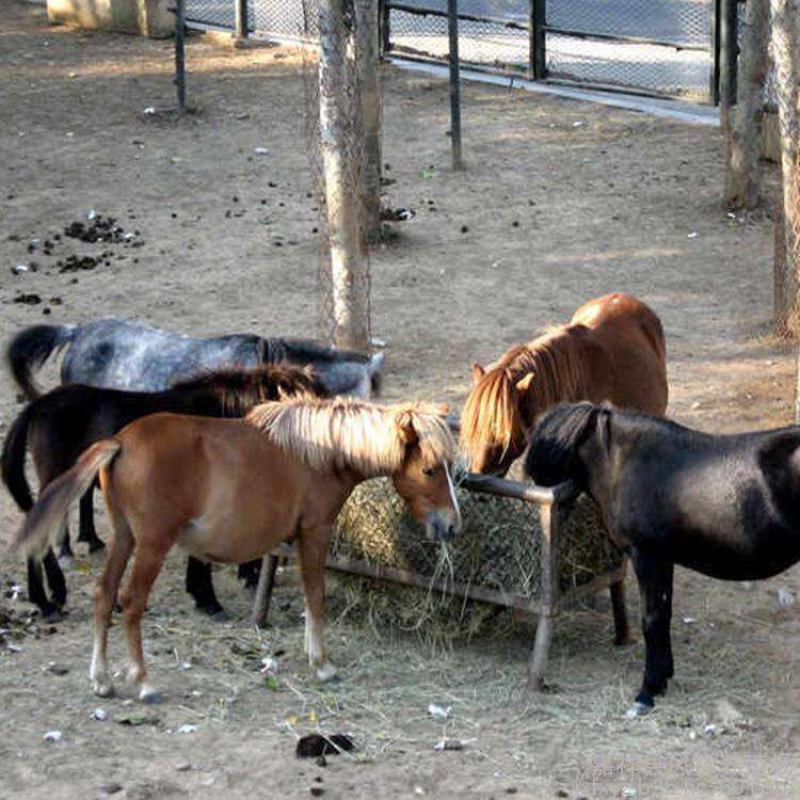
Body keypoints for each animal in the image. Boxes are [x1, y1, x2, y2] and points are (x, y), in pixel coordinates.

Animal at [13, 396, 461, 703]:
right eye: (429, 469)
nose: (452, 524)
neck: (321, 451)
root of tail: (120, 441)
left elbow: (308, 597)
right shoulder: (315, 532)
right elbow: (315, 594)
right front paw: (322, 664)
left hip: (125, 539)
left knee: (105, 596)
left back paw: (102, 679)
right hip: (153, 544)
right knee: (131, 601)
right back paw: (141, 681)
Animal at [526, 401, 800, 715]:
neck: (622, 463)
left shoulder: (648, 557)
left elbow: (652, 620)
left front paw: (647, 691)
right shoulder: (664, 560)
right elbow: (664, 615)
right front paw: (664, 677)